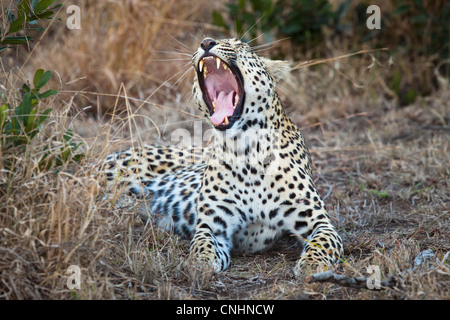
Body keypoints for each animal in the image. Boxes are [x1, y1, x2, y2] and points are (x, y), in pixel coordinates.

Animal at [100, 37, 342, 278]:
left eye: (240, 45)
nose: (207, 42)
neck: (245, 150)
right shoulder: (213, 226)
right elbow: (202, 244)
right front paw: (199, 265)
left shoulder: (318, 220)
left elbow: (323, 242)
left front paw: (311, 265)